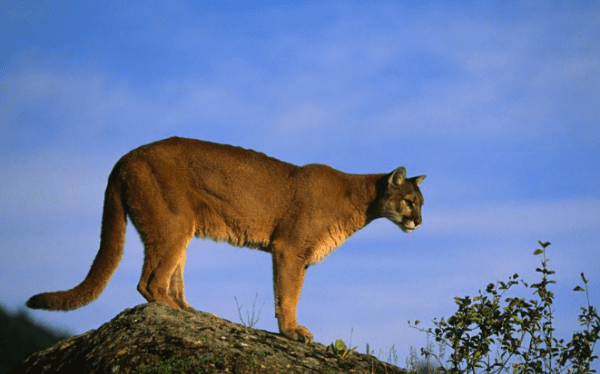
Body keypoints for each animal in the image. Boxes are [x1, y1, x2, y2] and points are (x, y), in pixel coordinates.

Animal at [25, 136, 424, 344]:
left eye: (422, 203)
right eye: (409, 201)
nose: (419, 221)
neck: (361, 200)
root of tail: (123, 158)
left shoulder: (296, 255)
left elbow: (290, 293)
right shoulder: (289, 249)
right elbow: (287, 295)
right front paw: (292, 331)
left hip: (180, 230)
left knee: (168, 278)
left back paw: (191, 310)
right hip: (172, 224)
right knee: (148, 282)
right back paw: (176, 312)